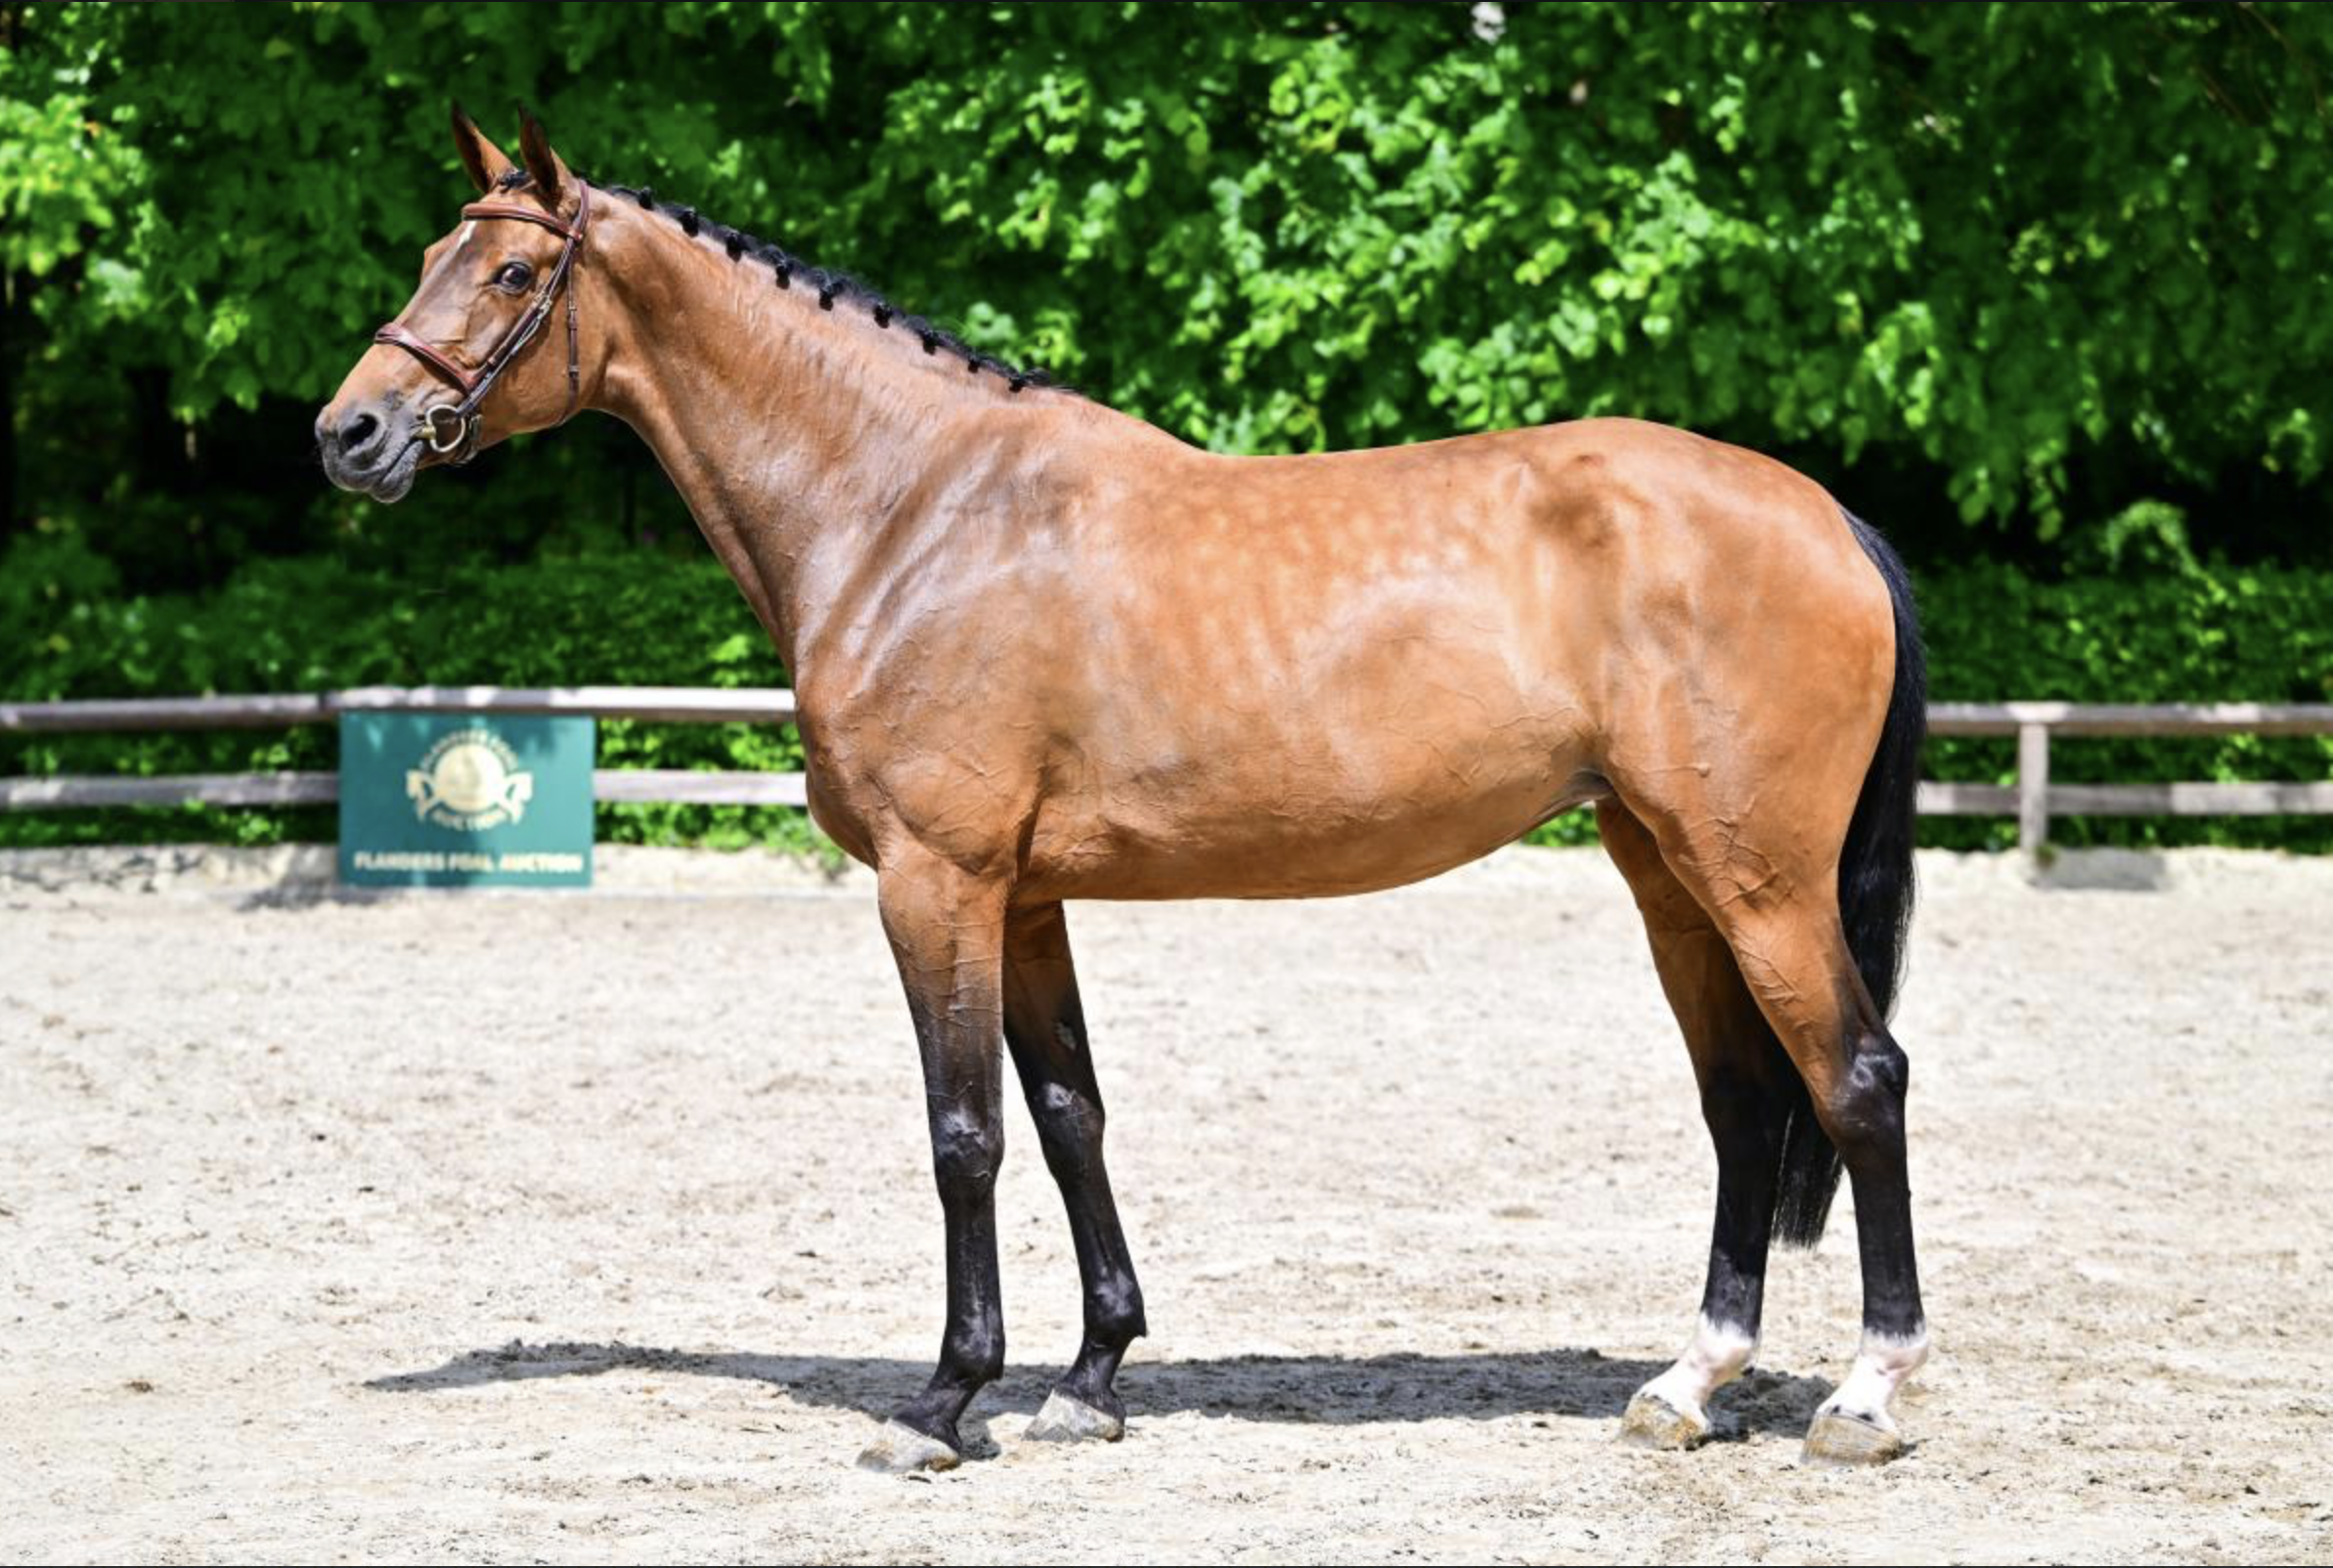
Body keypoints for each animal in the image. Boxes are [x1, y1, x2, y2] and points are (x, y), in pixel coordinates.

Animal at [319, 109, 1931, 1474]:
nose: (350, 434)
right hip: (1669, 874)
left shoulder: (938, 883)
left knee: (1856, 1082)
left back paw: (1864, 1395)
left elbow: (962, 1134)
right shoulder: (1025, 898)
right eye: (429, 257)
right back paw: (1687, 1385)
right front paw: (1088, 1381)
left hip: (1758, 881)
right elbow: (1067, 1113)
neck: (911, 511)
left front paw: (943, 1401)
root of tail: (1827, 517)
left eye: (510, 268)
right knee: (1742, 1105)